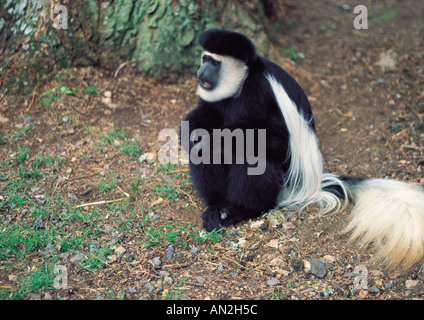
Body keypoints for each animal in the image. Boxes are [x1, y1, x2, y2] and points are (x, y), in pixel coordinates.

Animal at [181, 28, 424, 270]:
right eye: (205, 59)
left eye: (214, 63)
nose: (200, 72)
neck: (243, 82)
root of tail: (306, 183)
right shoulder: (218, 100)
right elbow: (201, 117)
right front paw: (196, 135)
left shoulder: (260, 91)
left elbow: (275, 139)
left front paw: (219, 138)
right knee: (202, 155)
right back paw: (217, 208)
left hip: (281, 182)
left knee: (254, 158)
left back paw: (242, 210)